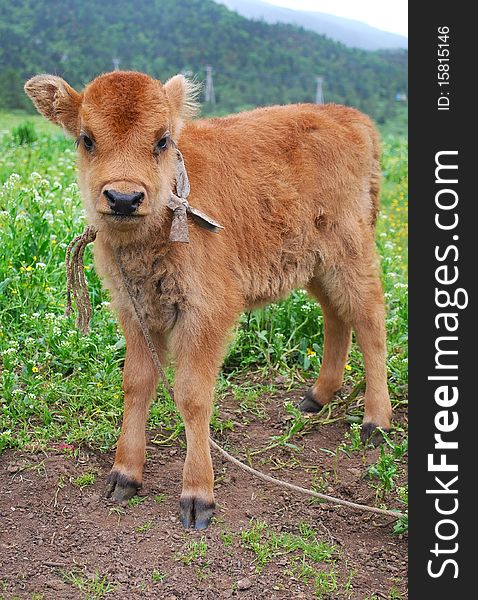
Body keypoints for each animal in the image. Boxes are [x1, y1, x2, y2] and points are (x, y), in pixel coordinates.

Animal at [25, 71, 392, 528]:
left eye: (163, 140)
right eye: (86, 138)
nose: (124, 199)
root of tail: (353, 120)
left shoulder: (205, 315)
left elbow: (192, 395)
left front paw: (198, 497)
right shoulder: (135, 311)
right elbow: (137, 384)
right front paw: (124, 476)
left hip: (350, 253)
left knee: (370, 319)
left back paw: (376, 422)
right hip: (315, 263)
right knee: (335, 314)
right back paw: (317, 397)